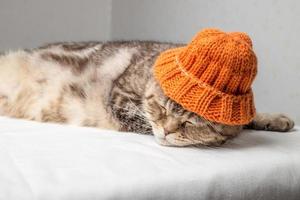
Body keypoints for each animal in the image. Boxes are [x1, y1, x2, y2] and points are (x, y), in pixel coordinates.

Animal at [0, 41, 296, 146]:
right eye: (162, 109)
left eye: (191, 123)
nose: (167, 131)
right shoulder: (121, 96)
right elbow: (142, 121)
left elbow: (247, 118)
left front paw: (273, 119)